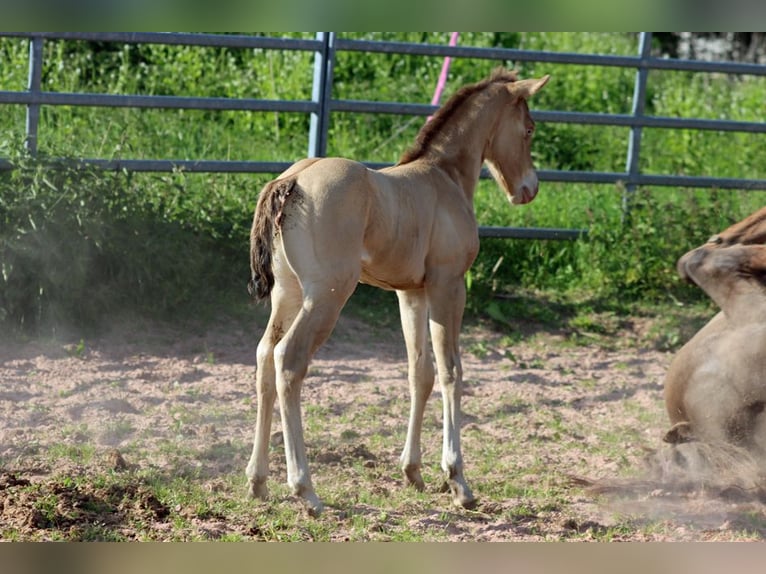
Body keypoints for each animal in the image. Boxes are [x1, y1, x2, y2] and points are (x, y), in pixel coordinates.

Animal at [245, 68, 550, 516]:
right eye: (528, 129)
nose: (529, 189)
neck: (443, 176)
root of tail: (290, 180)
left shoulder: (410, 293)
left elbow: (419, 372)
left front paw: (413, 472)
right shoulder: (447, 285)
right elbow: (452, 371)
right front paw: (458, 480)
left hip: (289, 294)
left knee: (265, 355)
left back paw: (258, 480)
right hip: (326, 297)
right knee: (289, 360)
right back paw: (306, 490)